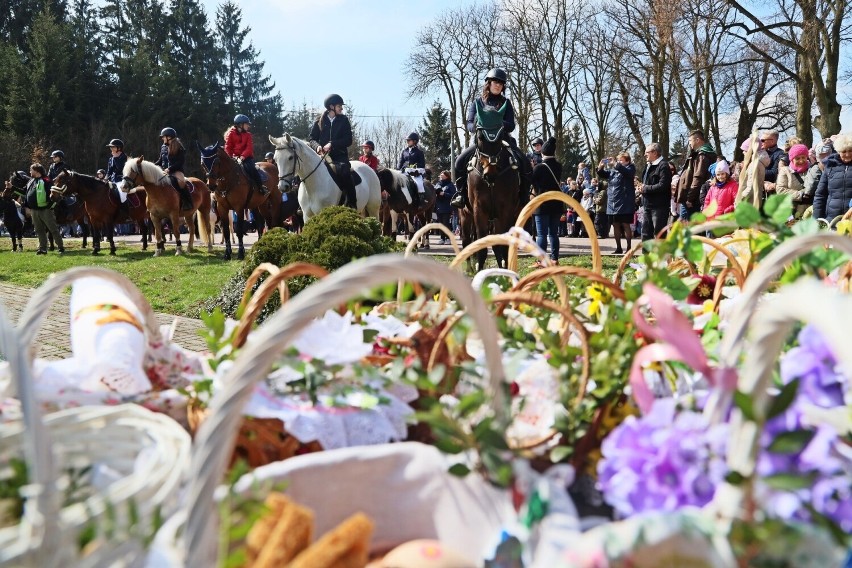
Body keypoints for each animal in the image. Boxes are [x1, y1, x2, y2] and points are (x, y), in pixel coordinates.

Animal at [462, 113, 524, 272]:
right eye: (480, 137)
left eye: (500, 136)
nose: (490, 174)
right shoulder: (479, 210)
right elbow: (481, 244)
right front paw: (479, 270)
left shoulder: (506, 211)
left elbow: (502, 244)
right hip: (465, 215)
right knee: (466, 241)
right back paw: (470, 268)